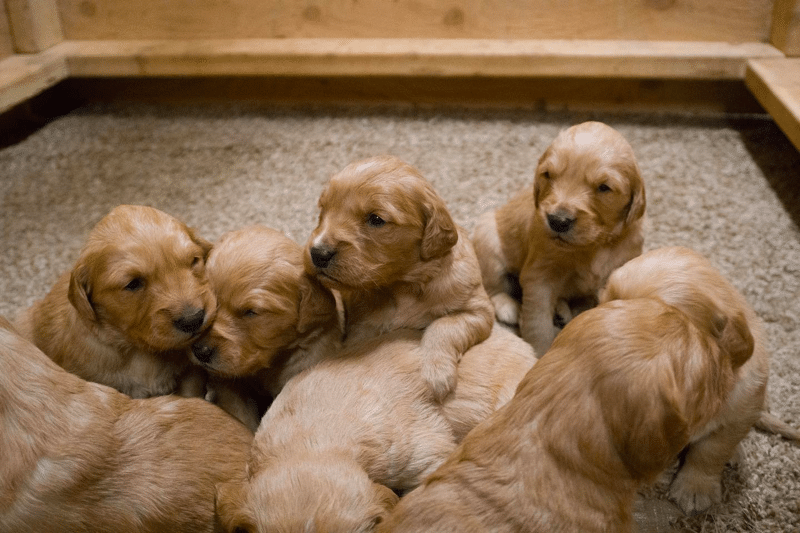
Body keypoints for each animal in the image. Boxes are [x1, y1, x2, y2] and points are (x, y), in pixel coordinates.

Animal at [304, 154, 496, 400]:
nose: (318, 253)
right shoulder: (361, 328)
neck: (403, 285)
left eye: (376, 219)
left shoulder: (477, 310)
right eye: (324, 208)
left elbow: (442, 326)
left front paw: (437, 374)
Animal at [472, 121, 648, 358]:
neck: (595, 243)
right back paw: (508, 306)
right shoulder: (539, 277)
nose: (557, 221)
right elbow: (538, 323)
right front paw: (540, 353)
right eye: (548, 175)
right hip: (488, 237)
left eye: (604, 187)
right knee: (492, 285)